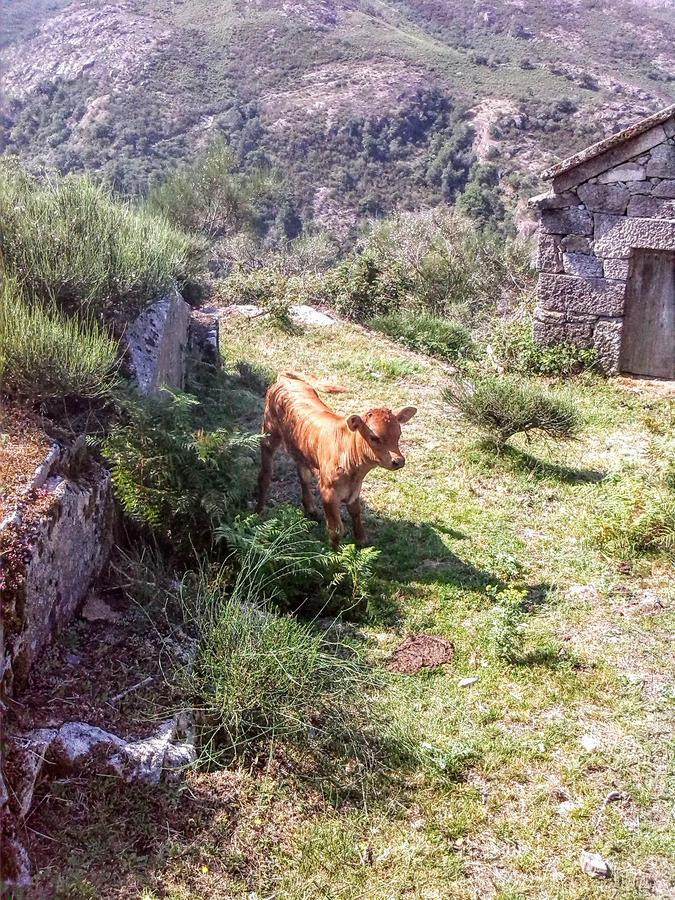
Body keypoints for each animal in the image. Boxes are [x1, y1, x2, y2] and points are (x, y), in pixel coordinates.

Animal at [256, 370, 418, 544]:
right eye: (374, 437)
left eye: (398, 434)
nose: (398, 461)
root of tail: (285, 379)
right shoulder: (328, 492)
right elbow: (335, 531)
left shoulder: (355, 490)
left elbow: (355, 512)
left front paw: (361, 540)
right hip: (269, 432)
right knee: (265, 475)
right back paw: (259, 511)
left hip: (301, 448)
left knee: (303, 474)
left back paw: (310, 508)